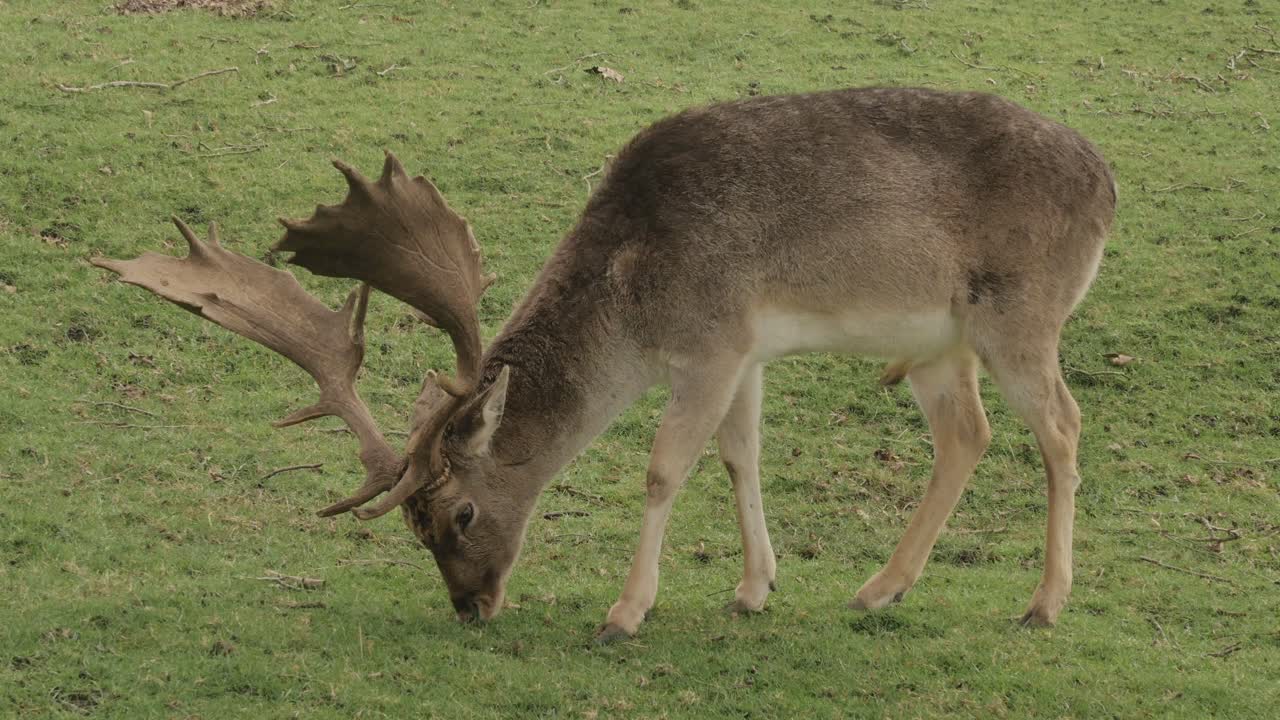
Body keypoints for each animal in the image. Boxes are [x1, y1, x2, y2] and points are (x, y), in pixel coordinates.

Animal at [93, 87, 1116, 643]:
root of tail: (1109, 186)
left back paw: (1044, 604)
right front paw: (754, 589)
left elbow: (664, 469)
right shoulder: (746, 350)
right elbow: (740, 458)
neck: (635, 298)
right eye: (413, 531)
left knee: (1063, 428)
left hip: (1021, 314)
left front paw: (626, 614)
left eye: (459, 513)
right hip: (941, 343)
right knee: (968, 434)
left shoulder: (710, 342)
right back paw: (879, 588)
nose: (470, 606)